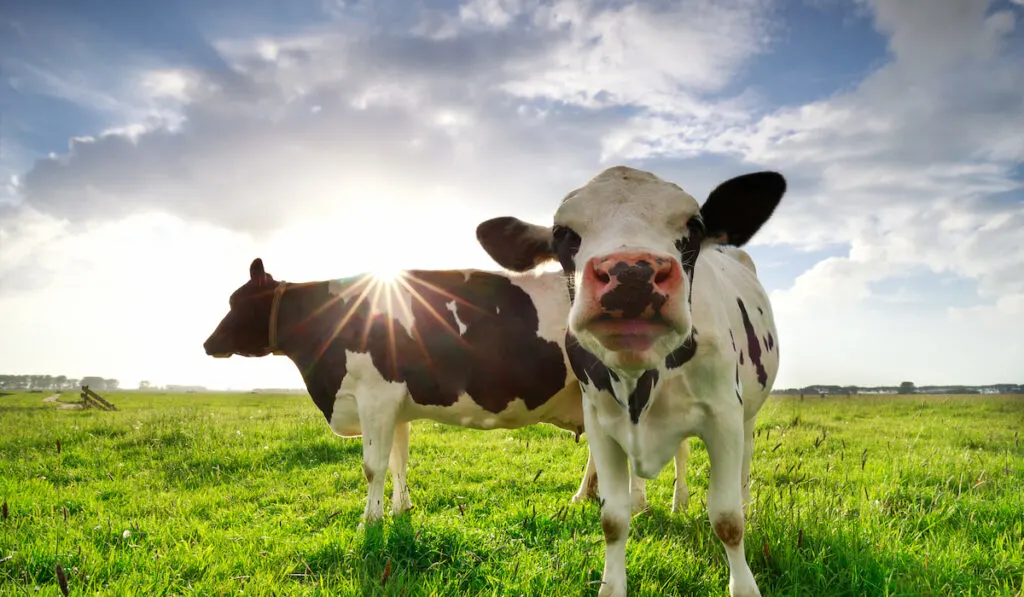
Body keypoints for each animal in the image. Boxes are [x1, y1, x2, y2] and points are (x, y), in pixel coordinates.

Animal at [202, 257, 675, 524]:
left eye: (237, 302)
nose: (207, 344)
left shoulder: (375, 397)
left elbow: (372, 466)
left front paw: (368, 521)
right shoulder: (393, 405)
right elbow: (398, 461)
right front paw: (399, 510)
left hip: (625, 385)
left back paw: (635, 505)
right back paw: (587, 497)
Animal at [475, 164, 786, 597]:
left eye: (694, 225)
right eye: (562, 233)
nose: (632, 273)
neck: (639, 375)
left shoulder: (723, 415)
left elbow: (727, 519)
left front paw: (745, 586)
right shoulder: (601, 424)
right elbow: (612, 519)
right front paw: (612, 584)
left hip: (748, 414)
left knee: (744, 465)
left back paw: (743, 502)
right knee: (681, 454)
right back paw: (676, 503)